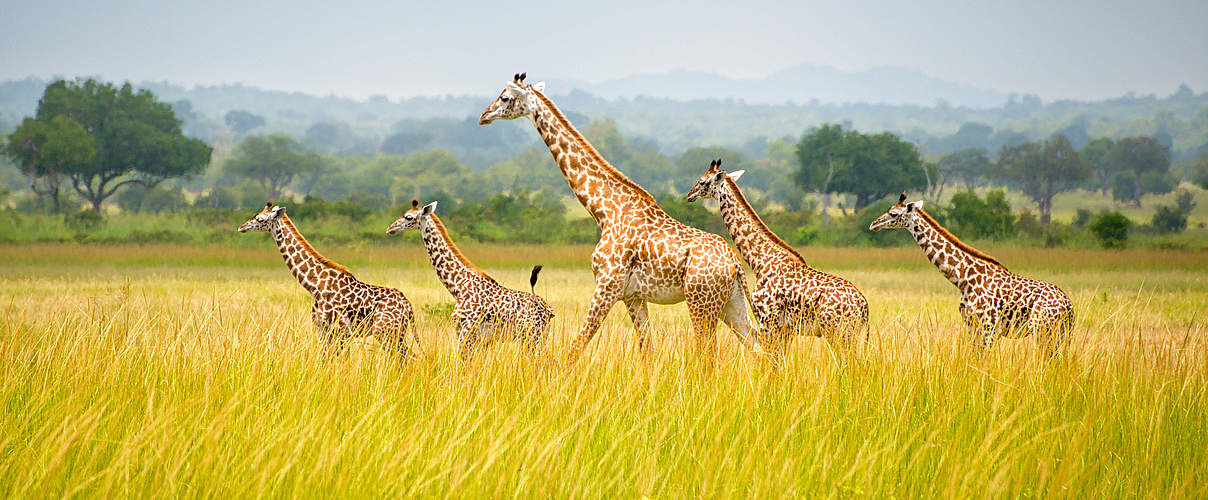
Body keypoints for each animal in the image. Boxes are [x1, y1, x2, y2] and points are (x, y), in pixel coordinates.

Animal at [237, 201, 417, 355]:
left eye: (260, 219)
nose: (241, 227)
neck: (315, 284)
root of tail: (408, 306)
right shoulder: (323, 330)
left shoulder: (338, 331)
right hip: (396, 332)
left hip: (385, 331)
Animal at [386, 199, 555, 359]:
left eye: (408, 217)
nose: (390, 228)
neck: (458, 285)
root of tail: (548, 310)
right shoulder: (482, 339)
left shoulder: (465, 331)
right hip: (539, 336)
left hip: (532, 335)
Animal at [478, 72, 753, 362]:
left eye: (505, 97)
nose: (484, 115)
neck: (605, 211)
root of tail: (735, 263)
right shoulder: (633, 296)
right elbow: (647, 351)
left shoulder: (607, 285)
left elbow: (576, 347)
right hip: (730, 302)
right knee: (756, 345)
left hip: (701, 300)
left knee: (707, 354)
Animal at [690, 160, 869, 355]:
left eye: (701, 181)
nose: (689, 195)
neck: (760, 261)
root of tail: (863, 306)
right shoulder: (786, 329)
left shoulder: (767, 320)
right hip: (849, 334)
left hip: (837, 332)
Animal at [869, 192, 1077, 355]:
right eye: (888, 208)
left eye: (893, 213)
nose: (873, 224)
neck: (963, 277)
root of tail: (1068, 306)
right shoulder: (971, 325)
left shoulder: (988, 327)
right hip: (1060, 334)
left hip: (1043, 330)